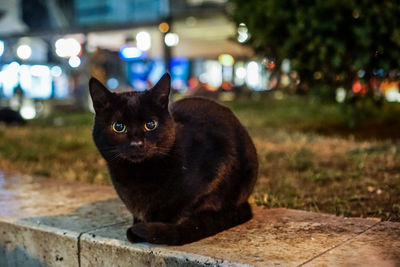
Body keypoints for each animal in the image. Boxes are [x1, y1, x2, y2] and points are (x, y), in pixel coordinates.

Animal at [89, 74, 258, 246]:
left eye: (150, 124)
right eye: (118, 126)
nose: (137, 144)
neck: (138, 175)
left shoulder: (219, 164)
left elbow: (186, 207)